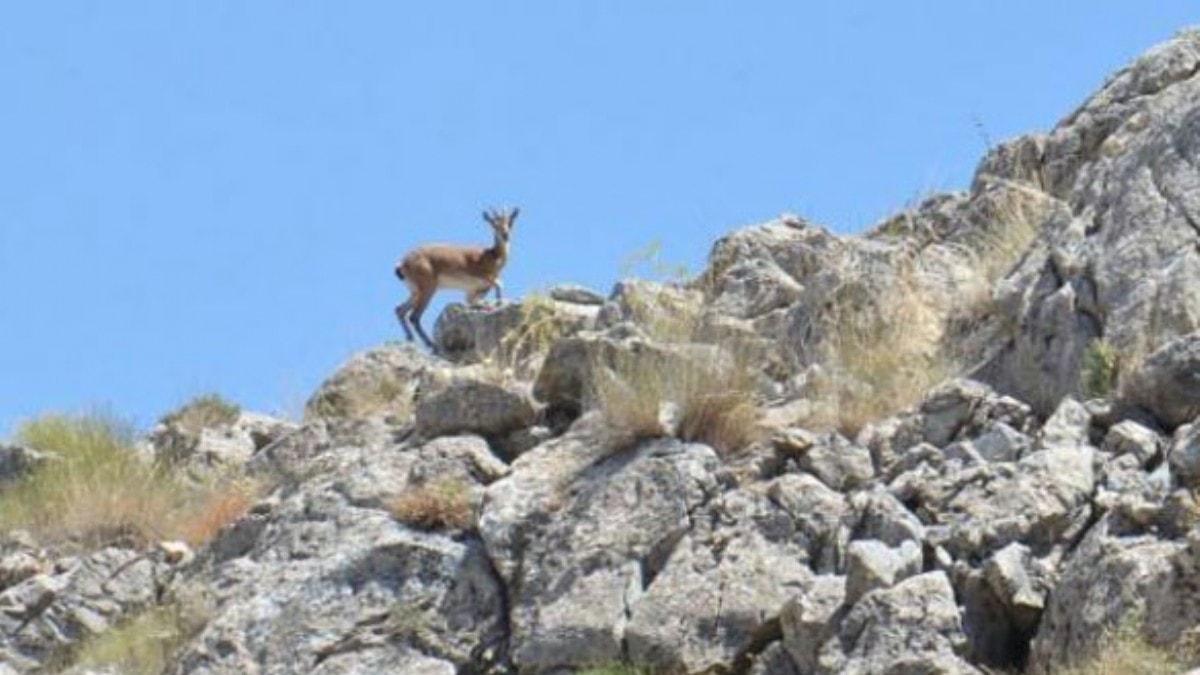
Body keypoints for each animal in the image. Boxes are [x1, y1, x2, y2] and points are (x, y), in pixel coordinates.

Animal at [393, 207, 516, 348]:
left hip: (415, 291)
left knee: (400, 310)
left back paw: (410, 338)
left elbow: (476, 301)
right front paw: (498, 304)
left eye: (510, 223)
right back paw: (431, 344)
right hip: (428, 288)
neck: (492, 256)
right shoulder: (481, 276)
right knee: (414, 316)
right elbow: (500, 284)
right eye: (493, 224)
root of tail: (402, 263)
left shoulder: (472, 292)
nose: (505, 235)